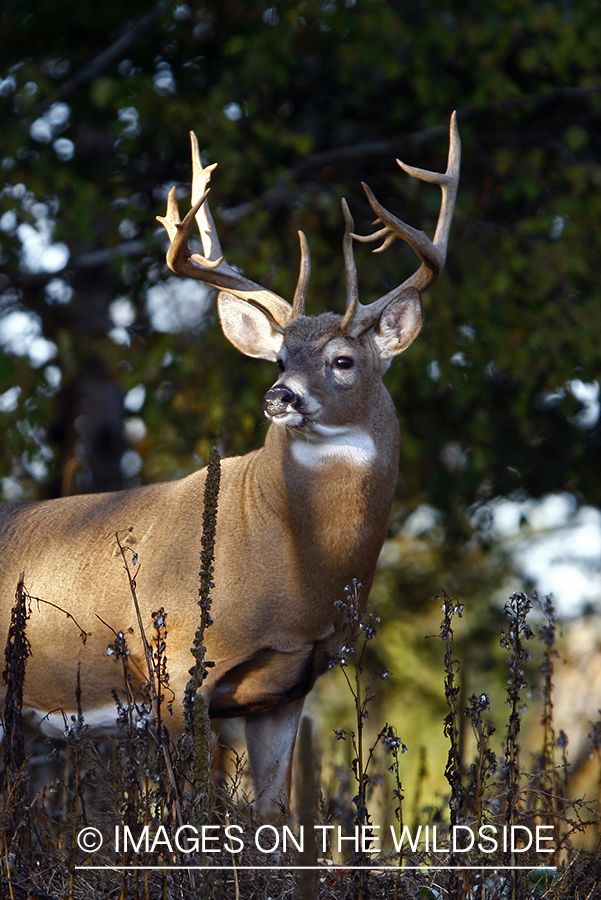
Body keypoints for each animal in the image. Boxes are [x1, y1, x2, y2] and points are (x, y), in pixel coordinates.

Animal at [0, 114, 460, 824]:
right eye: (279, 359)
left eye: (343, 360)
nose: (279, 397)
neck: (292, 569)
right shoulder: (175, 675)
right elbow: (192, 814)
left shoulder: (285, 689)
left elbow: (276, 819)